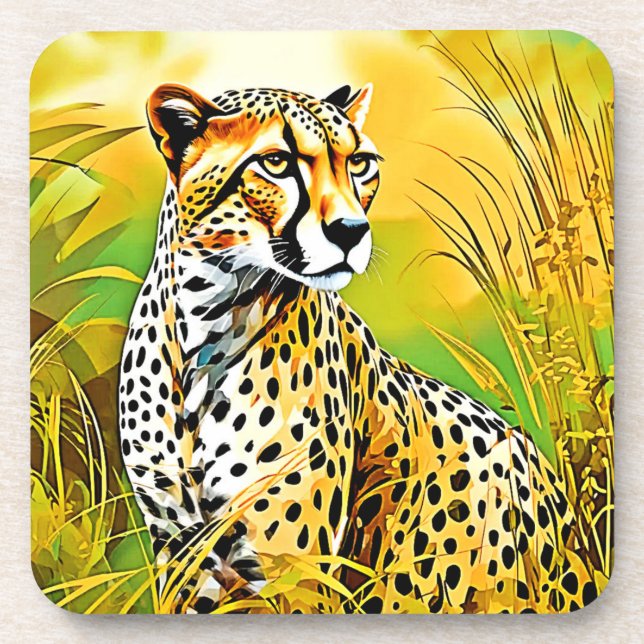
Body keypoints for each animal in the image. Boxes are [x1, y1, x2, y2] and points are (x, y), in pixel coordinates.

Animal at [118, 81, 596, 614]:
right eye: (277, 162)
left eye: (360, 163)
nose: (351, 231)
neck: (210, 317)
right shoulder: (183, 554)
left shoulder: (292, 571)